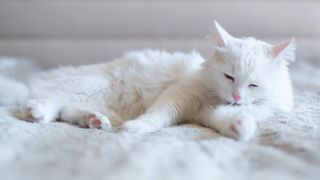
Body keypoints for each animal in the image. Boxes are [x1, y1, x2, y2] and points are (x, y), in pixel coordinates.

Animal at [1, 21, 296, 141]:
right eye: (229, 77)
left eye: (253, 85)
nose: (236, 97)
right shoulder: (180, 94)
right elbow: (158, 115)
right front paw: (136, 128)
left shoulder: (214, 111)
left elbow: (230, 118)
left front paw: (241, 128)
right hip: (89, 84)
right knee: (45, 98)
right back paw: (36, 112)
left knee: (65, 111)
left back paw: (94, 121)